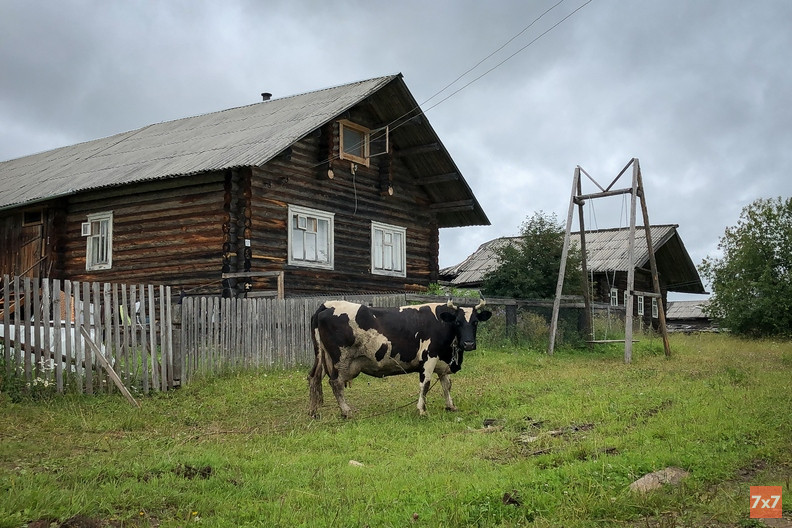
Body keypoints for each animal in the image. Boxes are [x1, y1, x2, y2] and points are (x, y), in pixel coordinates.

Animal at [307, 299, 492, 418]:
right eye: (458, 322)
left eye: (475, 322)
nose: (468, 344)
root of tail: (327, 305)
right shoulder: (429, 358)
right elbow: (425, 385)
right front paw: (422, 410)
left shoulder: (442, 361)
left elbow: (446, 385)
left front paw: (451, 406)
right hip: (340, 359)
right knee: (336, 383)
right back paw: (346, 411)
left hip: (323, 357)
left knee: (314, 377)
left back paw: (314, 411)